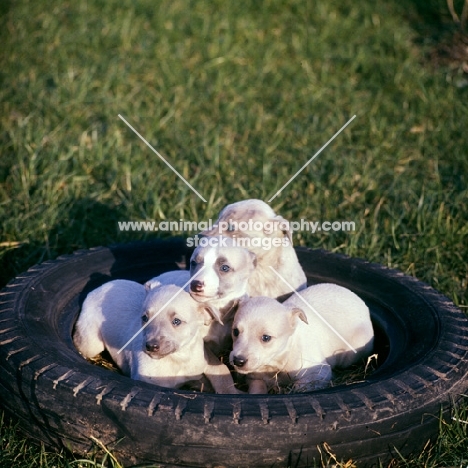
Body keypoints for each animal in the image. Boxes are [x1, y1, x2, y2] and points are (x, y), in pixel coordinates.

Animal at [74, 280, 238, 394]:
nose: (151, 346)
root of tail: (99, 288)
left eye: (176, 321)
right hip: (91, 344)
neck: (177, 360)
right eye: (145, 318)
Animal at [229, 284, 374, 394]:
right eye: (235, 331)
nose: (238, 361)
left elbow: (300, 387)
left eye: (266, 338)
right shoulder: (254, 378)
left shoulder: (317, 373)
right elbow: (257, 389)